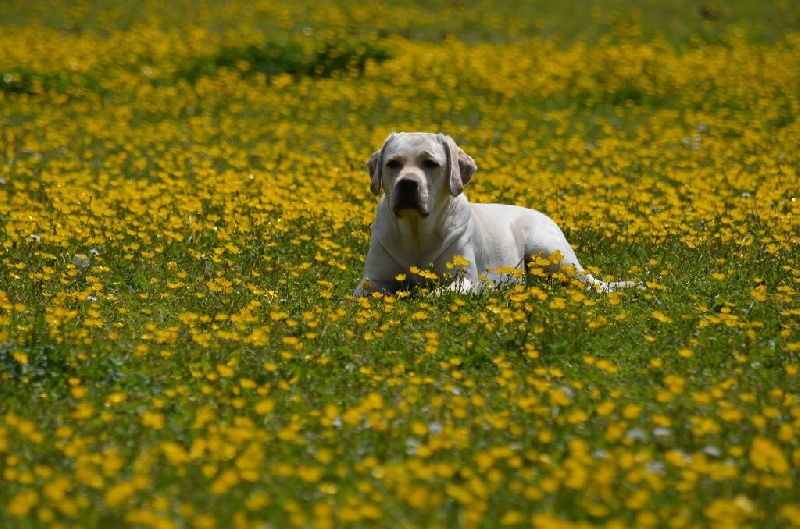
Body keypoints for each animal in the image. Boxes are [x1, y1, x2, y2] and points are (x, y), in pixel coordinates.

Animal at [354, 132, 636, 296]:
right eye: (393, 164)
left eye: (430, 163)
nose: (407, 184)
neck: (416, 232)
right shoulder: (373, 280)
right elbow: (358, 295)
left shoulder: (463, 279)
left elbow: (439, 293)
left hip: (550, 251)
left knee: (592, 283)